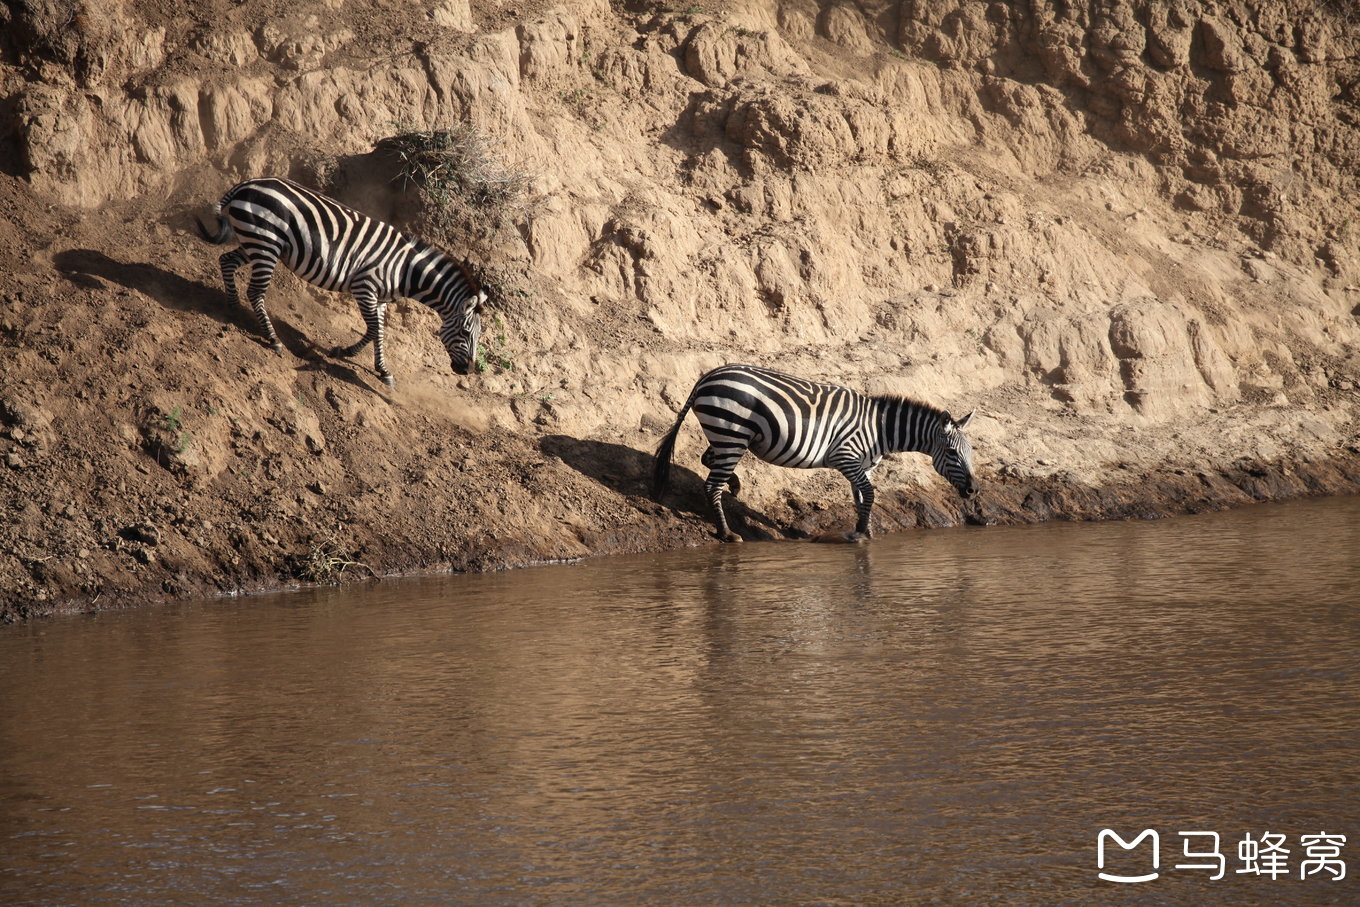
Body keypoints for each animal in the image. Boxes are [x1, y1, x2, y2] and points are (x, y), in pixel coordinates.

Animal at [194, 176, 484, 386]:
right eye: (465, 332)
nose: (468, 370)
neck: (405, 270)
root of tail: (247, 184)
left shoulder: (380, 299)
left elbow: (379, 332)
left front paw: (377, 367)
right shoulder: (365, 287)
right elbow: (373, 330)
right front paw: (350, 355)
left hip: (255, 241)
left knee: (226, 261)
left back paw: (232, 306)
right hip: (266, 242)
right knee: (255, 291)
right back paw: (272, 338)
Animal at [650, 364, 979, 546]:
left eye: (970, 452)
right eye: (952, 452)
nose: (974, 490)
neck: (879, 429)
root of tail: (708, 376)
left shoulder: (862, 465)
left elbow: (862, 498)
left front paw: (865, 529)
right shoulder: (846, 457)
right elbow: (870, 494)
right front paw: (861, 533)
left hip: (728, 435)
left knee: (710, 462)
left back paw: (735, 484)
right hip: (732, 432)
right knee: (711, 485)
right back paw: (727, 533)